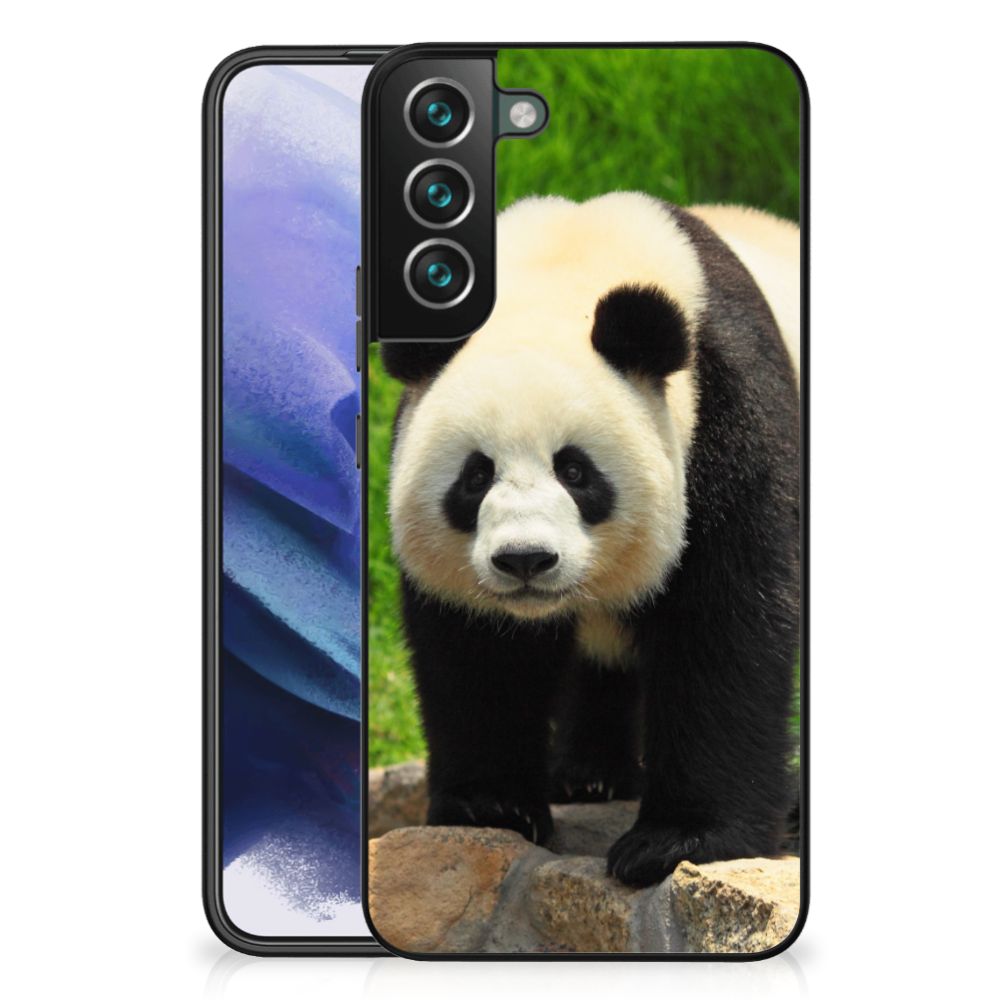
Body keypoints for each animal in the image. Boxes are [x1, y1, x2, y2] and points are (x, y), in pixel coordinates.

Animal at [380, 192, 800, 888]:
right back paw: (589, 776)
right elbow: (478, 652)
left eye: (575, 471)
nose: (525, 560)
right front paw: (490, 807)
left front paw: (677, 841)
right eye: (475, 476)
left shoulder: (729, 416)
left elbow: (727, 626)